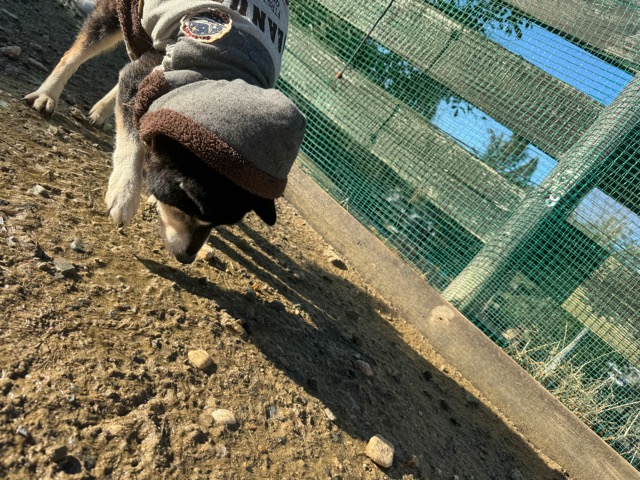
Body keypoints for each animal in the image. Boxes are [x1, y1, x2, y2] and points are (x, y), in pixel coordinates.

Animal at [25, 0, 305, 264]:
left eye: (217, 225)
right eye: (183, 213)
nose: (186, 258)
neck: (222, 73)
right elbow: (133, 139)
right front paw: (125, 195)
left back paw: (102, 110)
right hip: (121, 15)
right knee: (78, 53)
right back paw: (47, 95)